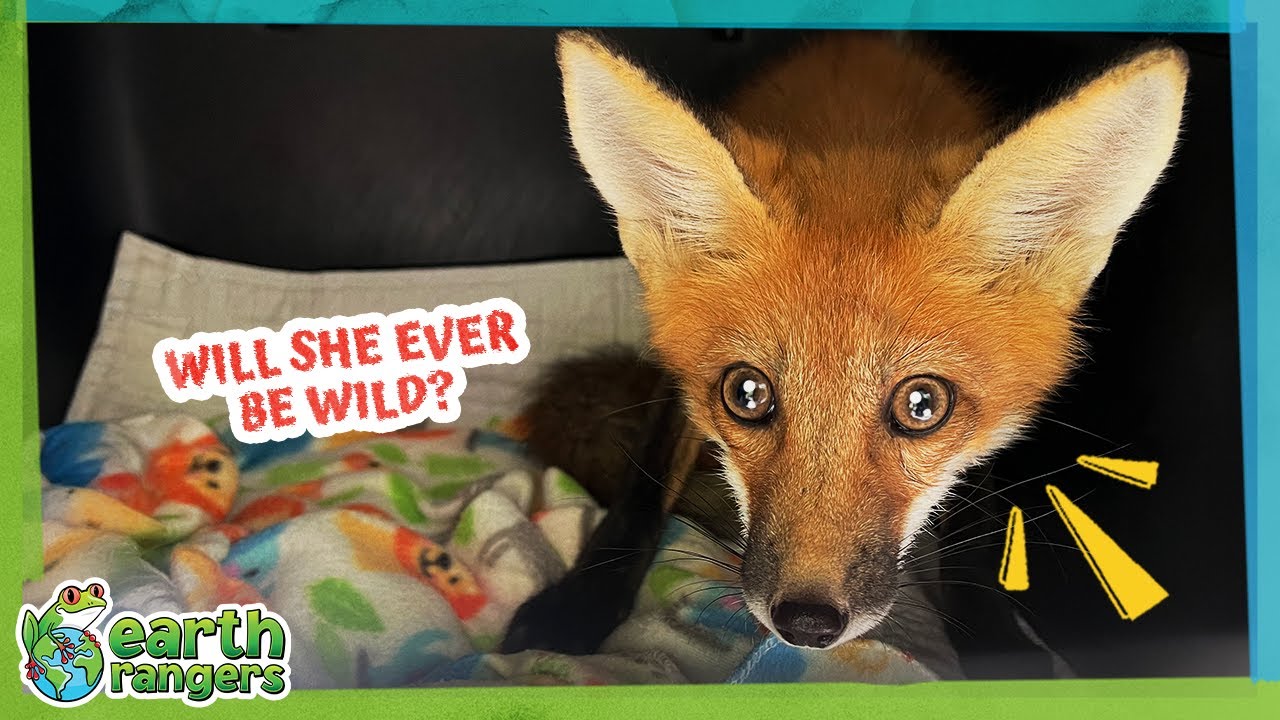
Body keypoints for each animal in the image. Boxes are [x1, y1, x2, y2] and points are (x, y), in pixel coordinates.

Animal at [499, 30, 1189, 659]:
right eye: (746, 393)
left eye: (922, 405)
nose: (805, 622)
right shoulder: (678, 374)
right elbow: (643, 487)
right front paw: (579, 603)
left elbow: (974, 514)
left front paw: (996, 642)